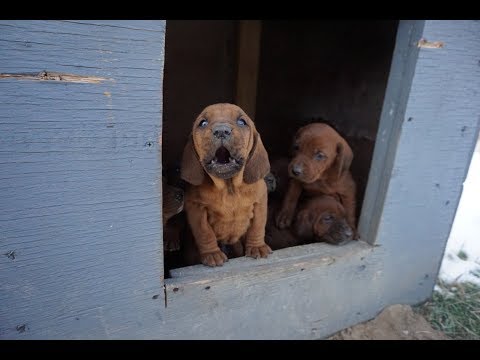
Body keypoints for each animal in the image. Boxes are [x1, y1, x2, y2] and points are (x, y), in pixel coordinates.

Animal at [180, 102, 272, 266]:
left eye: (242, 122)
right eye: (203, 123)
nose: (221, 131)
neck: (229, 187)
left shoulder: (260, 202)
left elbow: (257, 227)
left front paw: (257, 246)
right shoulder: (195, 207)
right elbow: (205, 232)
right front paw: (212, 253)